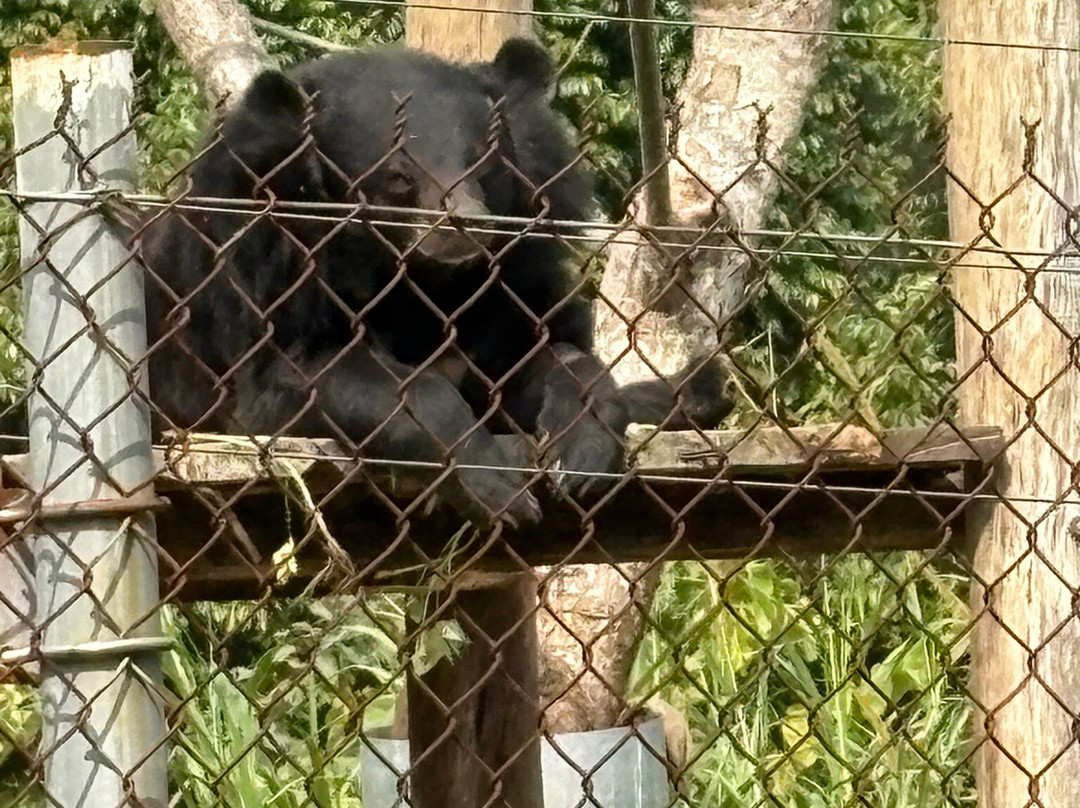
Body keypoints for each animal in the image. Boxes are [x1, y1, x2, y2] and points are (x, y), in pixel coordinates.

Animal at [137, 38, 730, 528]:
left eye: (482, 160)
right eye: (399, 178)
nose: (463, 227)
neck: (421, 282)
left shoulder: (510, 286)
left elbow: (550, 355)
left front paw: (580, 458)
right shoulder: (265, 285)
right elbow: (324, 379)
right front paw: (498, 487)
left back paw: (700, 392)